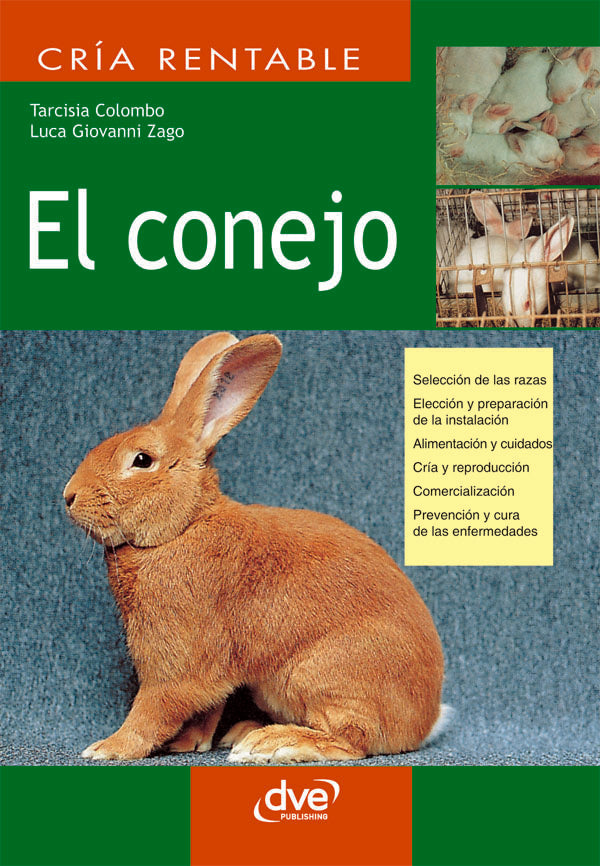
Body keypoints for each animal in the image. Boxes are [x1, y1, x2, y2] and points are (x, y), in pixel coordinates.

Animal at [64, 333, 446, 763]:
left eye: (142, 460)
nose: (68, 496)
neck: (183, 527)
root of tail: (424, 722)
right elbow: (206, 709)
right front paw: (187, 744)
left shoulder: (176, 663)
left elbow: (153, 709)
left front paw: (108, 748)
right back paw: (244, 731)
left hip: (321, 675)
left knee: (352, 740)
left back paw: (273, 742)